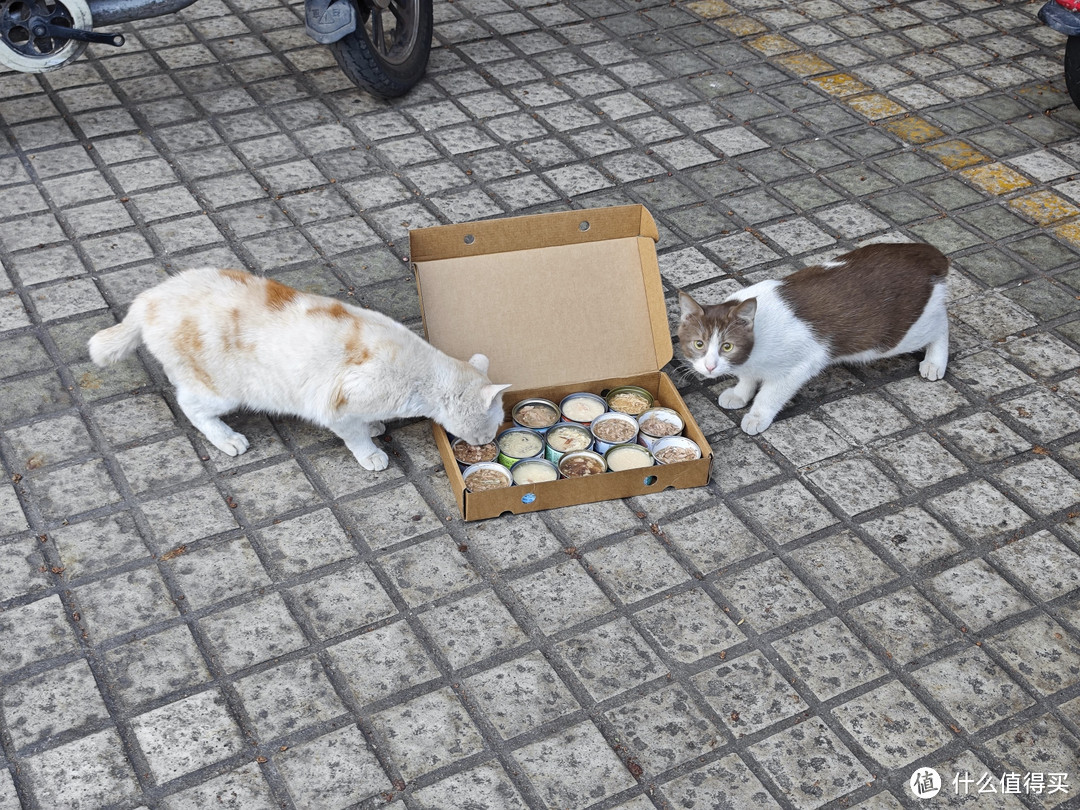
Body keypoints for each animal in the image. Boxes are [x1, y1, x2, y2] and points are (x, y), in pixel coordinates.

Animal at [88, 266, 509, 468]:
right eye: (491, 427)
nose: (488, 442)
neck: (422, 379)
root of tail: (149, 298)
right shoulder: (338, 407)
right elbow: (355, 436)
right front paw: (371, 451)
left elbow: (367, 423)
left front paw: (375, 425)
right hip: (221, 391)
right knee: (190, 407)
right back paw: (227, 439)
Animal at [678, 243, 950, 438]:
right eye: (699, 344)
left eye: (727, 346)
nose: (710, 366)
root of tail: (929, 252)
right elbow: (747, 378)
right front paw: (739, 393)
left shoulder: (802, 364)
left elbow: (770, 395)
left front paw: (757, 416)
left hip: (901, 333)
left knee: (942, 323)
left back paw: (935, 362)